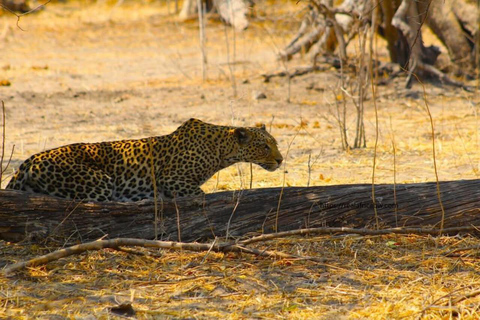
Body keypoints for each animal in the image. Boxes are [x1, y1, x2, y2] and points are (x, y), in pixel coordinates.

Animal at [5, 119, 284, 201]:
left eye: (276, 144)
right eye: (265, 146)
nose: (280, 160)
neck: (223, 148)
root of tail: (27, 162)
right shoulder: (173, 179)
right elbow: (200, 194)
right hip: (99, 183)